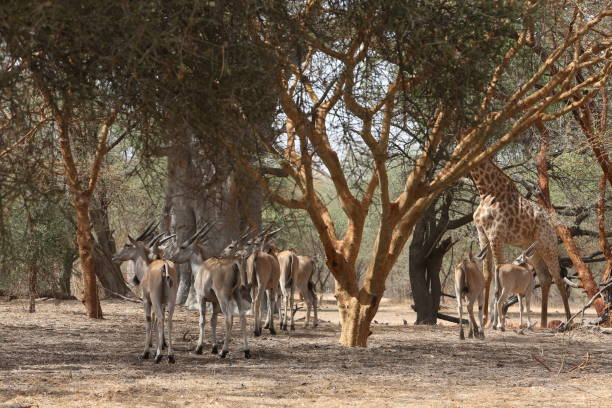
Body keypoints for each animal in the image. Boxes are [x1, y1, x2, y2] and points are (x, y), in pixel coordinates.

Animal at [113, 226, 178, 364]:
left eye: (127, 245)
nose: (114, 256)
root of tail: (164, 265)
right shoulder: (162, 303)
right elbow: (157, 321)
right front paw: (159, 347)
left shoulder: (146, 301)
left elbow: (149, 321)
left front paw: (146, 352)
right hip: (171, 300)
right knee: (168, 321)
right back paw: (170, 356)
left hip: (155, 300)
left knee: (160, 320)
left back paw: (159, 356)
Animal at [470, 159, 572, 328]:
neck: (486, 191)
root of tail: (551, 222)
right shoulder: (483, 234)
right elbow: (488, 275)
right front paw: (484, 320)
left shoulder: (496, 235)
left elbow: (498, 271)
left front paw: (497, 322)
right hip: (532, 249)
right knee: (545, 277)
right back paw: (543, 323)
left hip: (548, 244)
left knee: (557, 278)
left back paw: (569, 321)